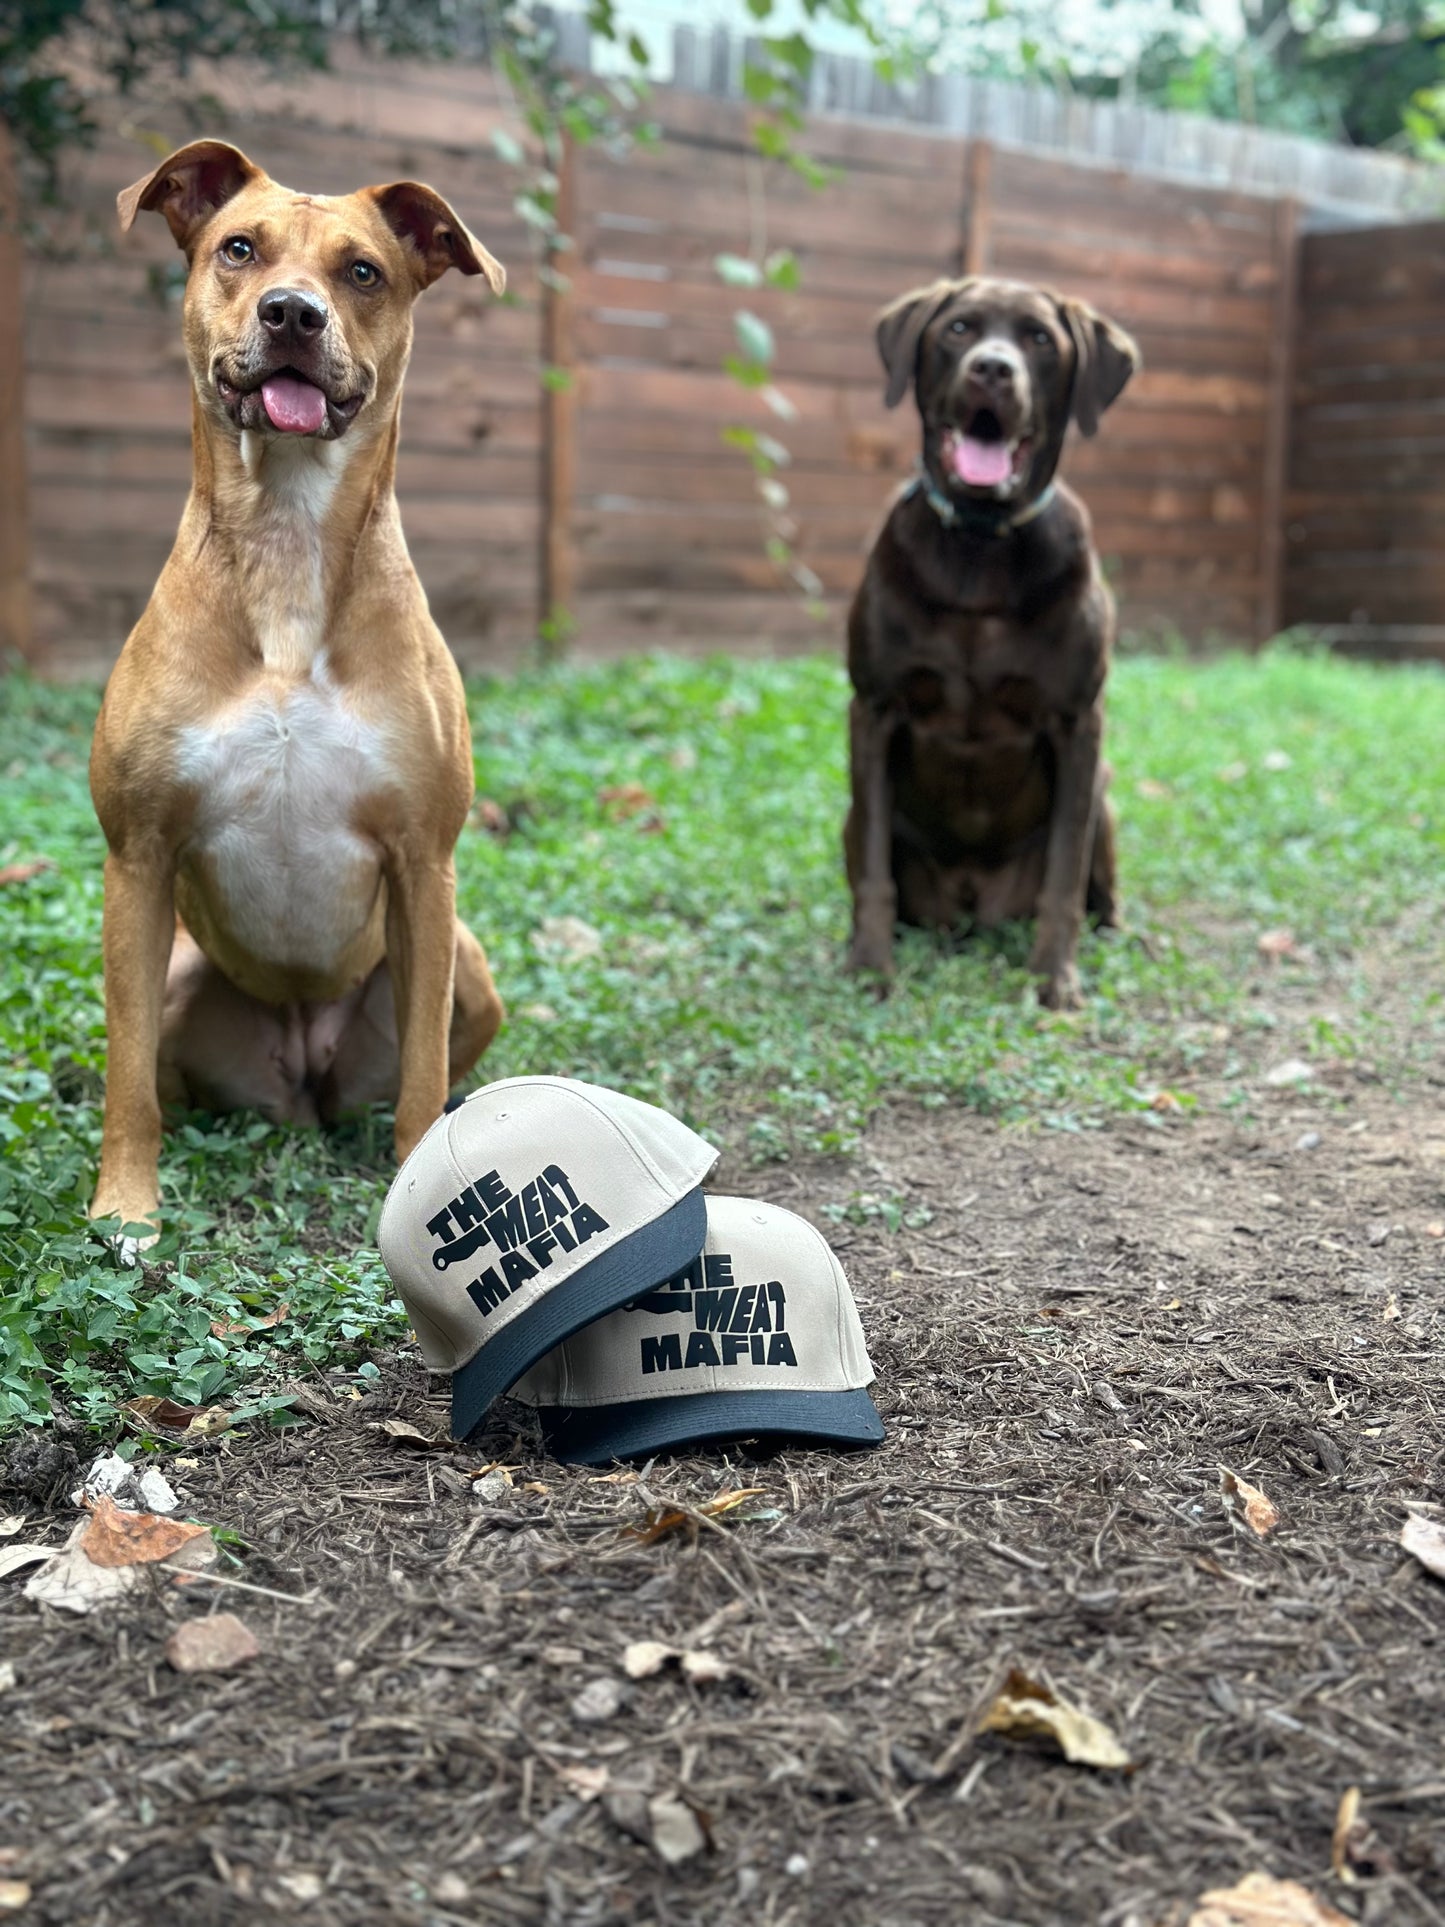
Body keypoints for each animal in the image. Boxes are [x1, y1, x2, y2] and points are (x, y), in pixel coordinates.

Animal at [89, 139, 508, 1248]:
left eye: (362, 270)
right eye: (239, 248)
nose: (291, 314)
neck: (286, 535)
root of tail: (306, 1073)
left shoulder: (423, 865)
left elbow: (419, 1078)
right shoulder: (137, 858)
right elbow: (125, 1080)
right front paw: (124, 1208)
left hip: (467, 962)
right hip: (183, 970)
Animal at [847, 281, 1140, 1009]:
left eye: (1039, 339)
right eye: (958, 328)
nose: (992, 369)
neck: (979, 548)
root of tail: (973, 910)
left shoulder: (1078, 724)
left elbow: (1063, 876)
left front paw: (1054, 978)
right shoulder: (872, 710)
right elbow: (874, 874)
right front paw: (869, 967)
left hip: (1105, 799)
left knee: (1099, 893)